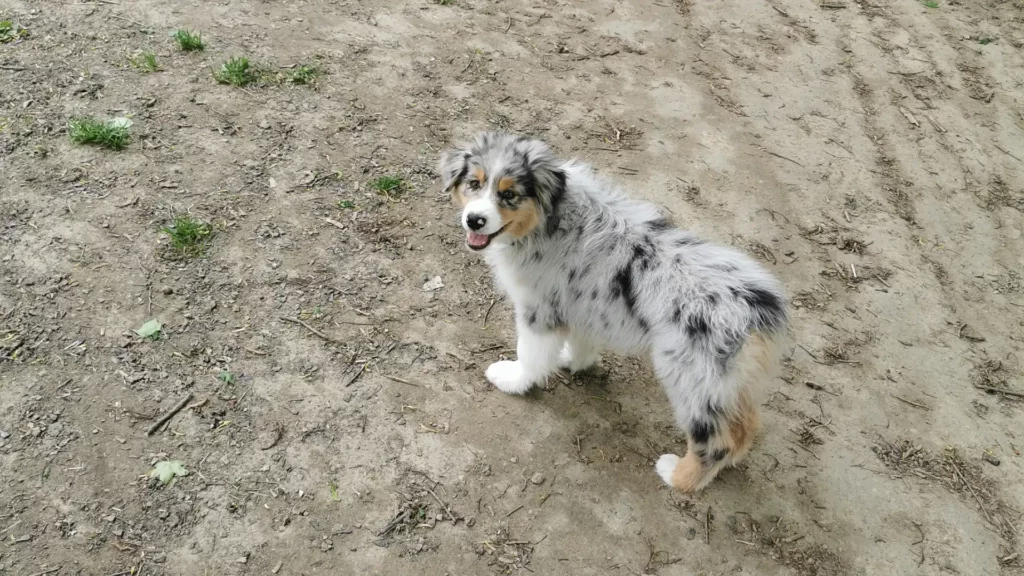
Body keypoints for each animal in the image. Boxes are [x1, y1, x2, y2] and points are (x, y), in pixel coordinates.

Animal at [438, 132, 782, 491]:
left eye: (509, 194)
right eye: (474, 184)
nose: (474, 220)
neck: (550, 219)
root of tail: (759, 306)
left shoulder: (539, 309)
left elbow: (530, 355)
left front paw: (513, 379)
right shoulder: (583, 303)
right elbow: (580, 344)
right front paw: (572, 360)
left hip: (691, 378)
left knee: (717, 440)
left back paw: (678, 476)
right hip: (728, 383)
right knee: (745, 425)